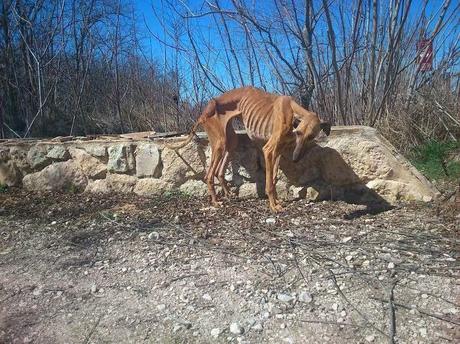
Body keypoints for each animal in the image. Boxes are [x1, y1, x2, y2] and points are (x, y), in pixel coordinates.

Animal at [169, 87, 330, 211]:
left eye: (311, 136)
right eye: (299, 133)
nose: (295, 158)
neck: (291, 109)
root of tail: (204, 111)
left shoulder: (278, 152)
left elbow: (274, 178)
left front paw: (277, 200)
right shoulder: (269, 150)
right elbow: (269, 183)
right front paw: (273, 206)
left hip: (230, 142)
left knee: (219, 172)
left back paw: (228, 194)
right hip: (219, 143)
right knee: (208, 175)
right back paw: (215, 201)